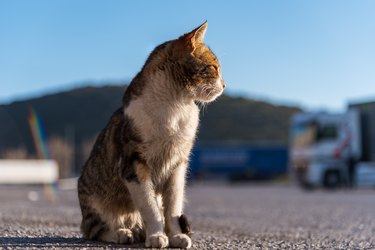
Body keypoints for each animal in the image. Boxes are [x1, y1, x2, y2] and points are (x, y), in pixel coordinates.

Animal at [77, 21, 225, 248]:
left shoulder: (178, 165)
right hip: (93, 200)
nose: (225, 84)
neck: (175, 106)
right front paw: (156, 235)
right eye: (214, 68)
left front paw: (175, 236)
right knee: (94, 230)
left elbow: (172, 209)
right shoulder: (134, 163)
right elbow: (150, 206)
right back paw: (123, 233)